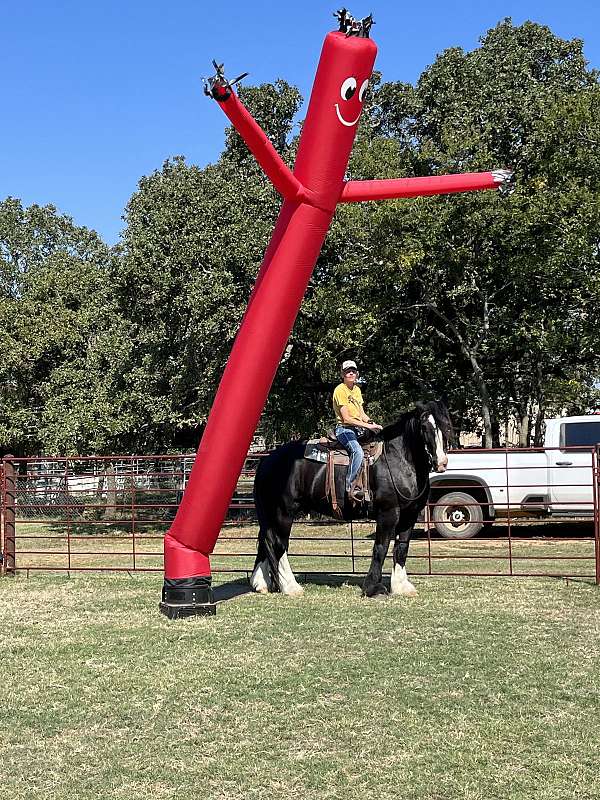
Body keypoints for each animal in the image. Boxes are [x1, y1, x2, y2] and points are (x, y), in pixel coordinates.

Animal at [251, 398, 452, 592]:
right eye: (424, 426)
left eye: (446, 426)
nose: (441, 463)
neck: (398, 459)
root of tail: (267, 460)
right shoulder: (388, 513)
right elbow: (381, 547)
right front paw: (373, 587)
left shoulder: (409, 515)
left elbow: (402, 547)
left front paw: (402, 586)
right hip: (284, 512)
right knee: (279, 544)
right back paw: (290, 587)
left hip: (270, 514)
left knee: (265, 540)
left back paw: (261, 584)